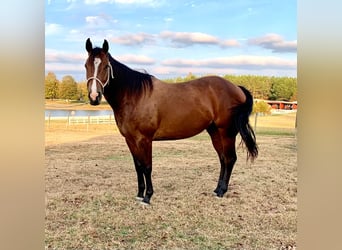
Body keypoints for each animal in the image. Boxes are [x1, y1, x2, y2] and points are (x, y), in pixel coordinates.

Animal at [85, 38, 256, 204]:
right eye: (86, 65)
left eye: (106, 66)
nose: (94, 97)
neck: (135, 96)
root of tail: (236, 87)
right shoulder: (130, 140)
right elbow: (138, 166)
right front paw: (139, 194)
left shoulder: (145, 140)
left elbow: (147, 166)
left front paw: (147, 197)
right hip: (215, 132)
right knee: (222, 159)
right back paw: (217, 189)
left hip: (227, 133)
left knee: (230, 159)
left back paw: (222, 192)